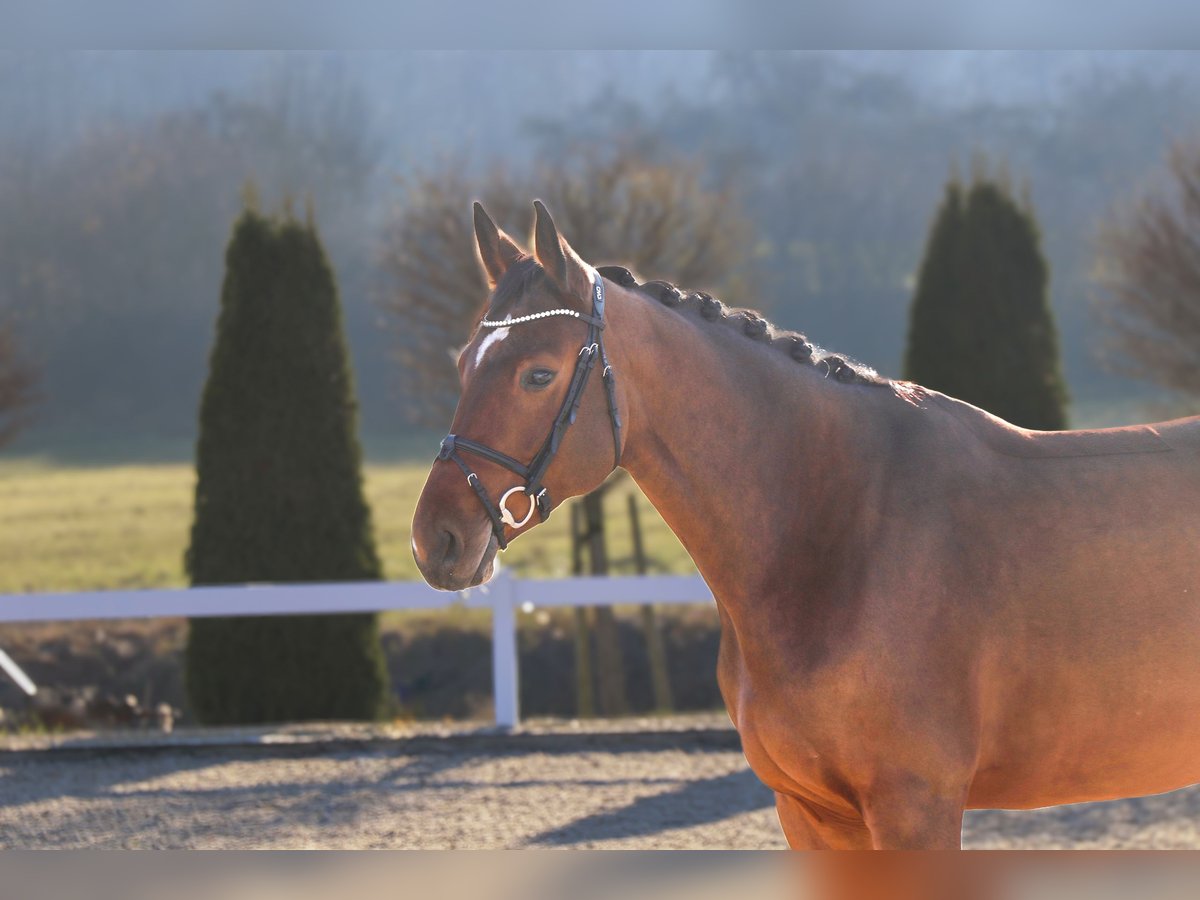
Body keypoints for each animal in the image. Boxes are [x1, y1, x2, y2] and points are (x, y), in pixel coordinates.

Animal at [410, 200, 1200, 849]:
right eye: (463, 362)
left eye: (538, 374)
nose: (435, 538)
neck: (842, 528)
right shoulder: (812, 814)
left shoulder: (916, 809)